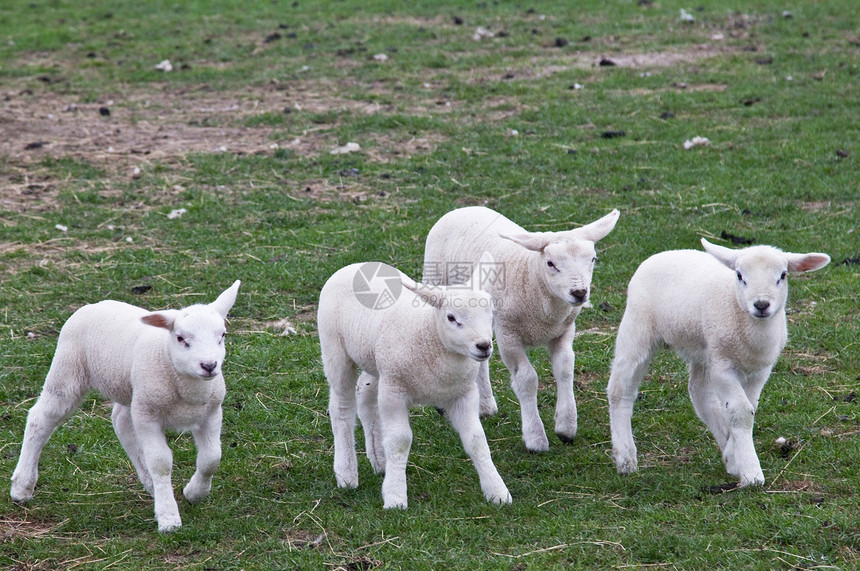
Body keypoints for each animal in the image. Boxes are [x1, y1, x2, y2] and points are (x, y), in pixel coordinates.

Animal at [10, 280, 242, 536]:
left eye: (222, 335)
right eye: (181, 338)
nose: (209, 365)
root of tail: (94, 305)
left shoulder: (211, 414)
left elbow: (211, 458)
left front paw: (195, 493)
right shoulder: (148, 416)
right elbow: (161, 463)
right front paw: (169, 518)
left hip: (129, 391)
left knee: (120, 421)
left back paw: (150, 484)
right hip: (68, 371)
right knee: (40, 419)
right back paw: (22, 487)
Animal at [320, 255, 510, 510]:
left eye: (491, 313)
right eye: (451, 317)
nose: (484, 346)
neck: (429, 334)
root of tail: (354, 265)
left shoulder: (464, 393)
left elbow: (477, 440)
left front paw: (497, 491)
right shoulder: (394, 392)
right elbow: (400, 441)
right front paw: (395, 497)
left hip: (377, 362)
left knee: (365, 393)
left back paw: (379, 460)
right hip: (336, 351)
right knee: (341, 408)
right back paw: (346, 472)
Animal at [422, 206, 620, 452]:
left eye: (593, 259)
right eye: (551, 263)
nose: (579, 293)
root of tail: (463, 209)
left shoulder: (564, 331)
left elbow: (565, 368)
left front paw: (566, 426)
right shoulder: (509, 335)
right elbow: (527, 379)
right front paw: (535, 438)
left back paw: (485, 405)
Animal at [608, 240, 828, 488]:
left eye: (782, 275)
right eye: (740, 275)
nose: (761, 304)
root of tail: (665, 253)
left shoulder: (759, 371)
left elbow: (748, 408)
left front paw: (734, 455)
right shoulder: (723, 367)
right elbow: (740, 411)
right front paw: (751, 473)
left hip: (704, 349)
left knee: (699, 392)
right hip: (638, 328)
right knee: (620, 390)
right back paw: (625, 458)